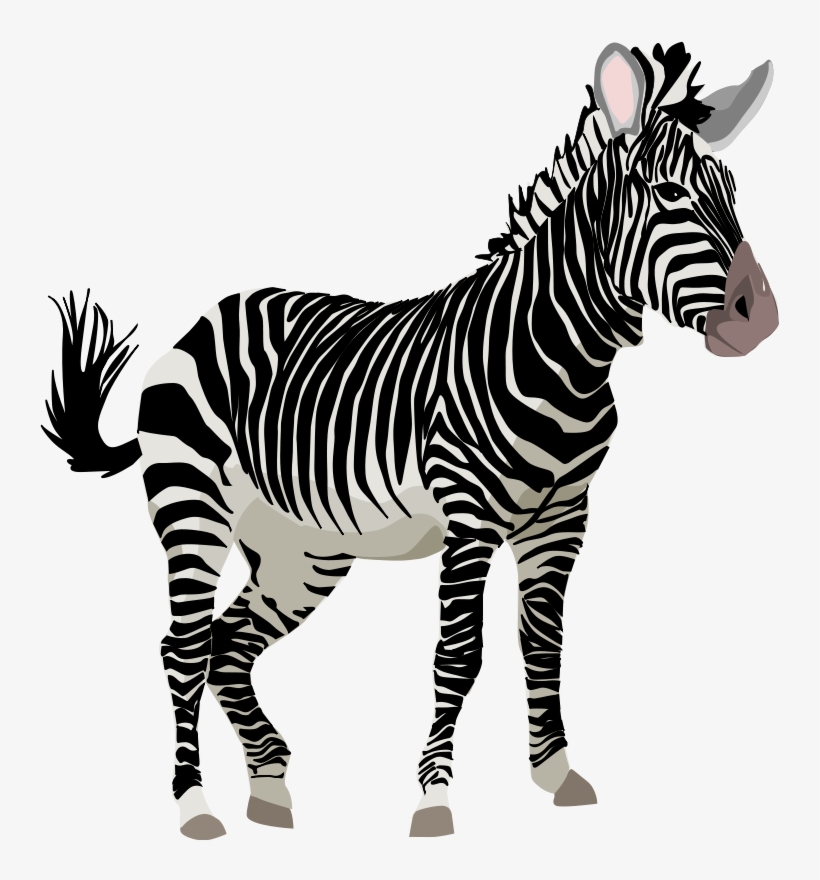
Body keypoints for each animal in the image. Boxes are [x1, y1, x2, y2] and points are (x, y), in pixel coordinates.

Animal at [43, 42, 778, 839]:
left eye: (732, 190)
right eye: (668, 194)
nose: (761, 318)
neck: (561, 358)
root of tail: (203, 318)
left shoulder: (562, 519)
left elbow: (542, 642)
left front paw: (555, 771)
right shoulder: (470, 516)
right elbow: (458, 655)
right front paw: (434, 798)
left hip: (302, 551)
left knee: (228, 644)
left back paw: (269, 785)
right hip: (193, 508)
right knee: (181, 648)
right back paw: (194, 805)